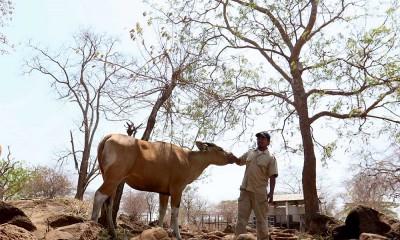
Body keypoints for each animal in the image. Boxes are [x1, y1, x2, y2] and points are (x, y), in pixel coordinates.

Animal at [90, 134, 238, 239]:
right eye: (220, 149)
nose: (232, 157)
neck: (188, 159)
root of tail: (110, 136)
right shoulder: (177, 189)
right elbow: (175, 211)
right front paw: (177, 235)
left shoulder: (164, 192)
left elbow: (162, 211)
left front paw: (159, 230)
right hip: (114, 177)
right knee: (99, 195)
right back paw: (93, 224)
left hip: (111, 178)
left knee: (109, 202)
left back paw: (112, 233)